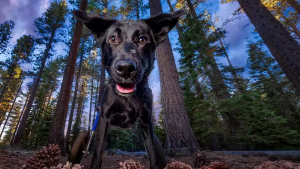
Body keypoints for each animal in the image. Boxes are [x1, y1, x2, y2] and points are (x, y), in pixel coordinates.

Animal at [72, 8, 185, 169]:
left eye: (142, 39)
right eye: (113, 39)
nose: (125, 68)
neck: (127, 99)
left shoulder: (145, 119)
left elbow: (152, 151)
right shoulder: (103, 118)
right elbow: (97, 153)